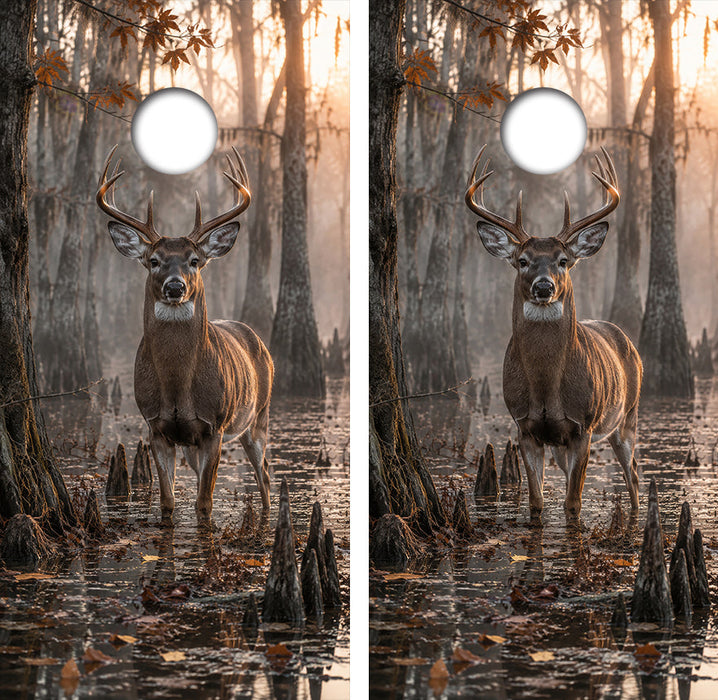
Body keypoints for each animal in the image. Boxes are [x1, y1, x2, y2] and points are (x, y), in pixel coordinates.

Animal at [97, 145, 273, 519]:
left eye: (194, 260)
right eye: (153, 260)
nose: (175, 286)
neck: (178, 385)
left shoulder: (214, 426)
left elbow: (204, 505)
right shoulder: (156, 426)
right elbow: (168, 502)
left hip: (258, 415)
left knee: (264, 473)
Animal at [465, 146, 642, 517]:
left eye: (563, 260)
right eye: (522, 260)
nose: (544, 287)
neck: (546, 386)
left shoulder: (583, 426)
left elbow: (573, 504)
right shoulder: (525, 426)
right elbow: (537, 502)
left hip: (626, 416)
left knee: (633, 473)